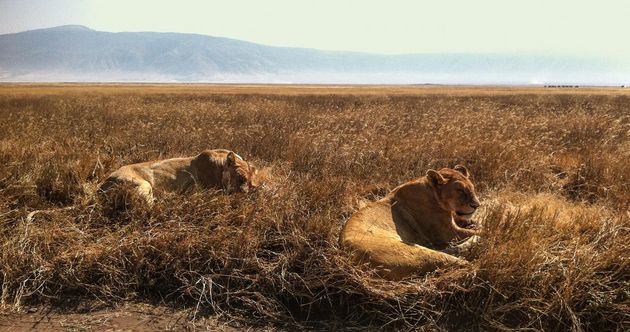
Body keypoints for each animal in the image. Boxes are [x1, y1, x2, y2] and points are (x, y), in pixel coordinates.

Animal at [98, 148, 260, 205]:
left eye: (250, 182)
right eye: (240, 178)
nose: (245, 193)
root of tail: (100, 187)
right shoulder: (199, 190)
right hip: (143, 184)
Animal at [340, 165, 484, 278]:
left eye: (472, 188)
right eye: (460, 190)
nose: (477, 205)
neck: (431, 192)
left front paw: (474, 223)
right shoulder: (447, 233)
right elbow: (477, 231)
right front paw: (484, 231)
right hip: (415, 252)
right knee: (463, 262)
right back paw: (476, 242)